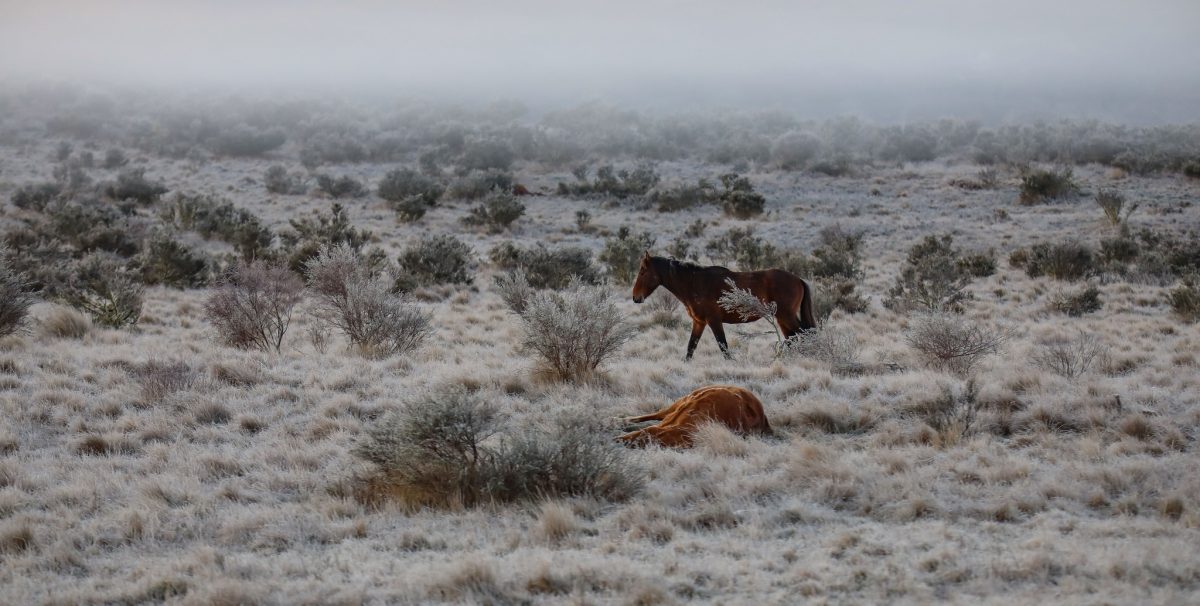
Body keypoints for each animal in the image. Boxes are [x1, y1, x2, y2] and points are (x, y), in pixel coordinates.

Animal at [628, 254, 816, 360]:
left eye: (643, 271)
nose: (635, 297)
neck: (694, 283)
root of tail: (798, 279)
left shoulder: (714, 321)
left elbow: (723, 347)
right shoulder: (699, 322)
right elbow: (691, 348)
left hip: (786, 316)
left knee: (803, 335)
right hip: (782, 318)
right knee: (793, 338)